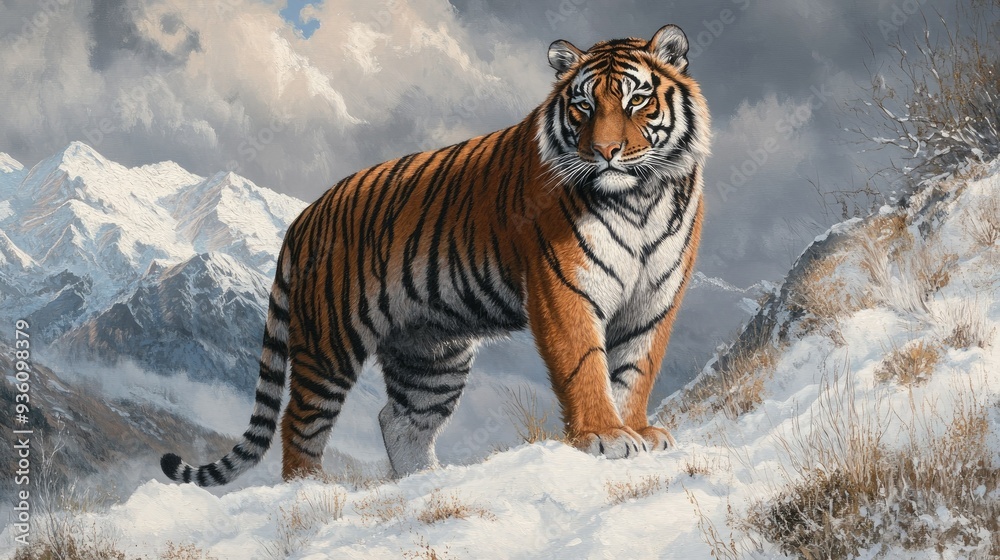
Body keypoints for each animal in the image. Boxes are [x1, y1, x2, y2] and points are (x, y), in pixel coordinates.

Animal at [160, 23, 710, 486]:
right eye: (583, 107)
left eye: (637, 100)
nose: (605, 153)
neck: (640, 198)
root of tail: (304, 216)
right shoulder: (564, 288)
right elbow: (586, 366)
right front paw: (606, 436)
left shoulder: (655, 297)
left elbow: (636, 370)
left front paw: (640, 430)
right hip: (329, 341)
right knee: (301, 423)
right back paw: (307, 493)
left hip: (431, 353)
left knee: (400, 420)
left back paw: (424, 484)